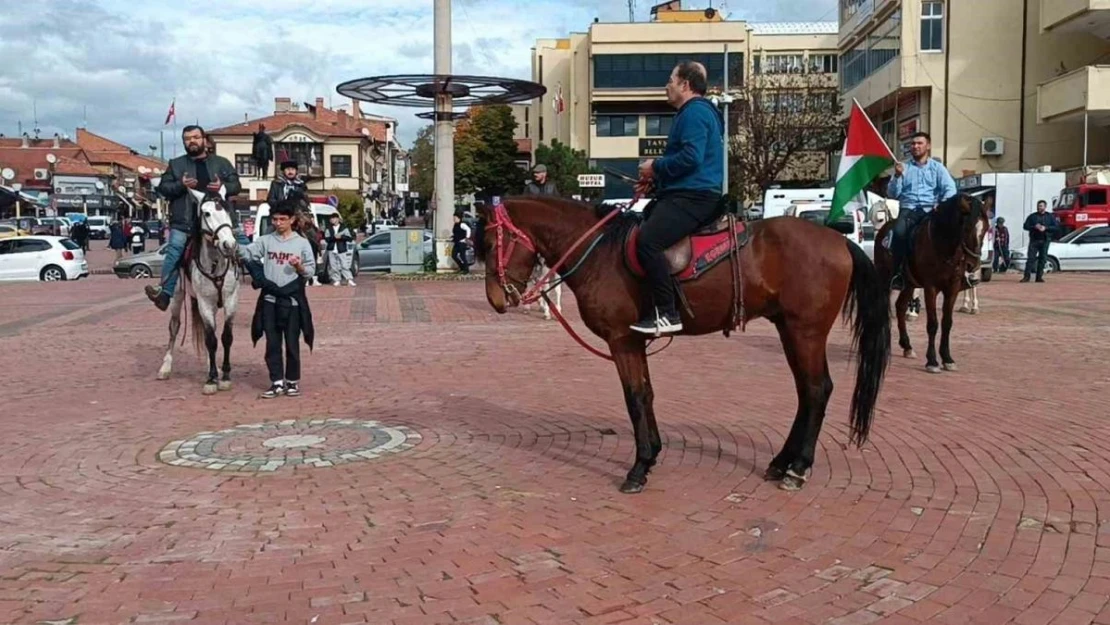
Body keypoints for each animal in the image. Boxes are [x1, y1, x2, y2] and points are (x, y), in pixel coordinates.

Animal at [156, 188, 240, 395]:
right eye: (207, 213)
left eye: (228, 211)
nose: (229, 244)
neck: (216, 263)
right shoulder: (204, 302)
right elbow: (211, 340)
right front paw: (211, 380)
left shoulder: (231, 300)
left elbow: (225, 337)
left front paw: (224, 376)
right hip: (177, 297)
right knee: (174, 328)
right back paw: (165, 367)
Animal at [477, 197, 892, 497]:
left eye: (490, 241)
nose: (496, 299)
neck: (600, 253)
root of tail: (840, 240)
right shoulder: (634, 343)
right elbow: (646, 394)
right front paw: (652, 456)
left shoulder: (622, 341)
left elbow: (635, 398)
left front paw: (639, 467)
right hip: (790, 330)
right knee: (806, 393)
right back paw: (781, 462)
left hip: (805, 332)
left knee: (818, 390)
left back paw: (799, 468)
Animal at [874, 193, 990, 375]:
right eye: (966, 228)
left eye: (985, 229)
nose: (973, 264)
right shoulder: (931, 288)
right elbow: (933, 324)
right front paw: (932, 361)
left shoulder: (953, 288)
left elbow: (947, 323)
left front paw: (948, 359)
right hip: (885, 279)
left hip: (909, 283)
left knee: (900, 306)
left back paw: (907, 346)